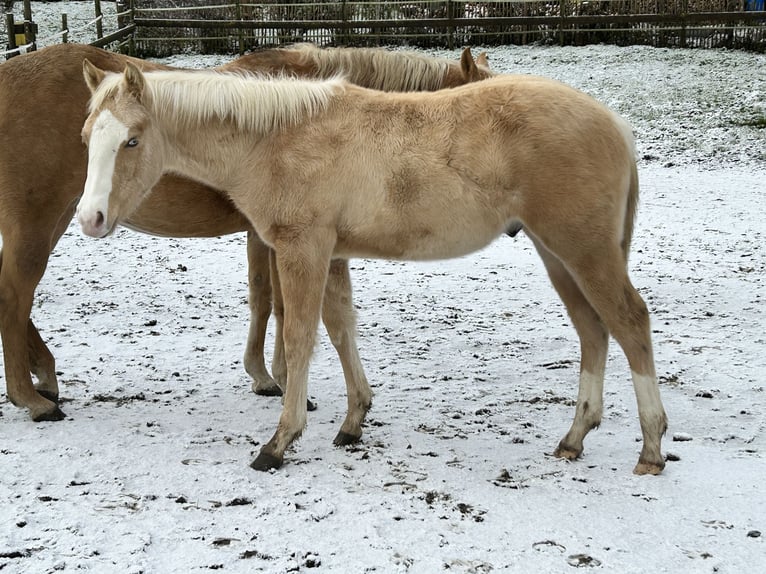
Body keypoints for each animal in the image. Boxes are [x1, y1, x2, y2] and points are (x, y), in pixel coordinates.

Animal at [0, 43, 493, 424]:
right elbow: (280, 306)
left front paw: (263, 375)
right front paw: (282, 380)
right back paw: (31, 398)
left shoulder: (265, 234)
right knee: (15, 295)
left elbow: (263, 299)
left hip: (61, 216)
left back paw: (44, 375)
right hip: (40, 221)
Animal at [76, 62, 669, 475]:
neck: (275, 141)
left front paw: (280, 441)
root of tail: (617, 125)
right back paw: (574, 438)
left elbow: (299, 337)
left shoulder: (303, 250)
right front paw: (353, 421)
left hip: (584, 250)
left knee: (630, 323)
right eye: (86, 139)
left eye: (132, 139)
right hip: (557, 253)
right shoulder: (333, 254)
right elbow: (342, 330)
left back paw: (651, 448)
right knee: (593, 330)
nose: (90, 218)